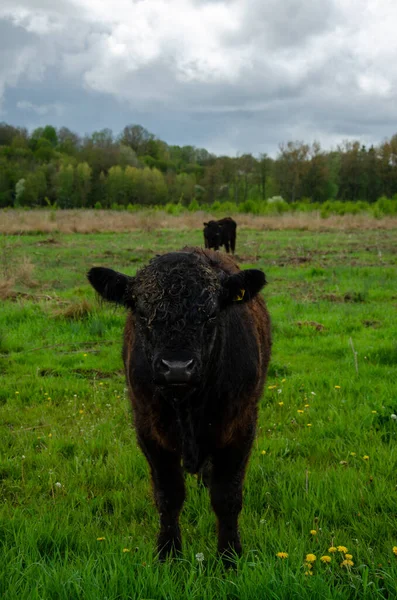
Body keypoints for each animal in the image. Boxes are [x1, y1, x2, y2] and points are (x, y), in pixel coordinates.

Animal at [87, 246, 270, 560]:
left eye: (210, 314)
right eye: (142, 313)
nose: (176, 368)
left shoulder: (241, 425)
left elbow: (227, 497)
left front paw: (229, 556)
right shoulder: (148, 428)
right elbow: (169, 495)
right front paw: (168, 554)